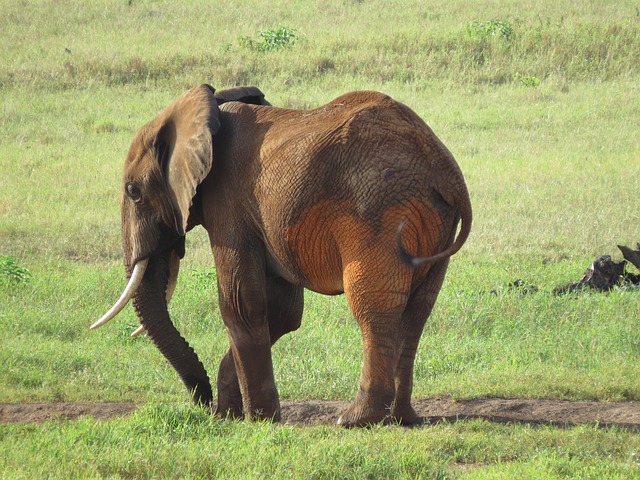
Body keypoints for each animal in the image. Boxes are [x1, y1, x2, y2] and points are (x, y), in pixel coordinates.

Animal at [94, 83, 470, 428]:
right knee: (417, 311)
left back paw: (355, 420)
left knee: (373, 308)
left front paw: (258, 420)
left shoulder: (228, 202)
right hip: (431, 225)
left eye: (134, 192)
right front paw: (230, 416)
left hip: (382, 214)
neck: (208, 110)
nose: (202, 401)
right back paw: (403, 419)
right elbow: (283, 312)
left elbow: (241, 304)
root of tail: (445, 170)